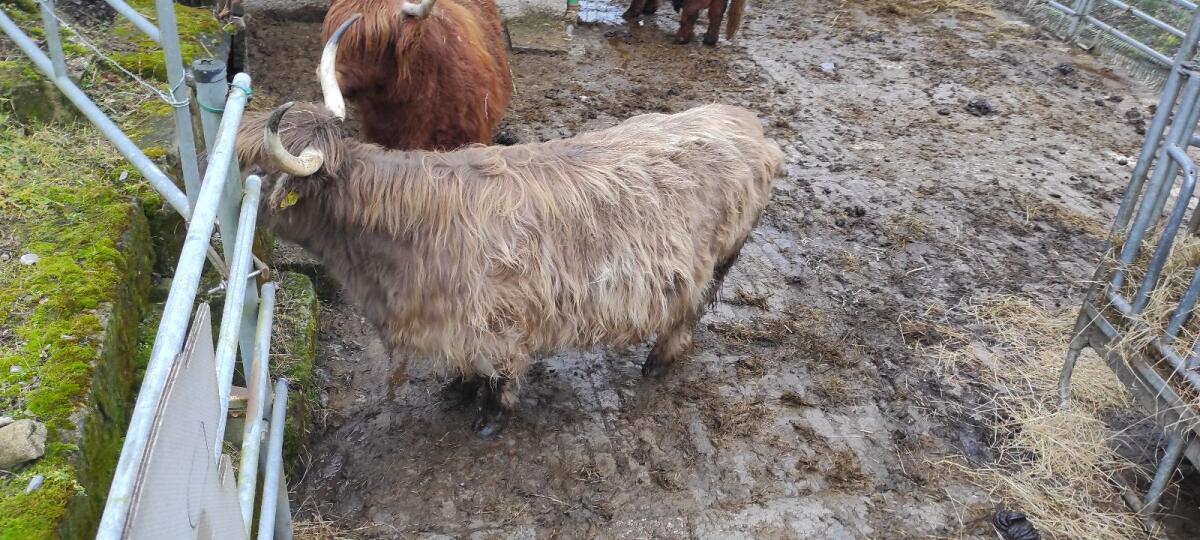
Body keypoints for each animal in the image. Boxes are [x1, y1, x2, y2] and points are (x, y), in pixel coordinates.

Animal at [235, 20, 784, 438]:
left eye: (252, 167)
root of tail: (749, 126)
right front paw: (456, 391)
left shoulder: (498, 320)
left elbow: (499, 374)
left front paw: (490, 416)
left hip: (719, 259)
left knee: (690, 311)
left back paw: (658, 361)